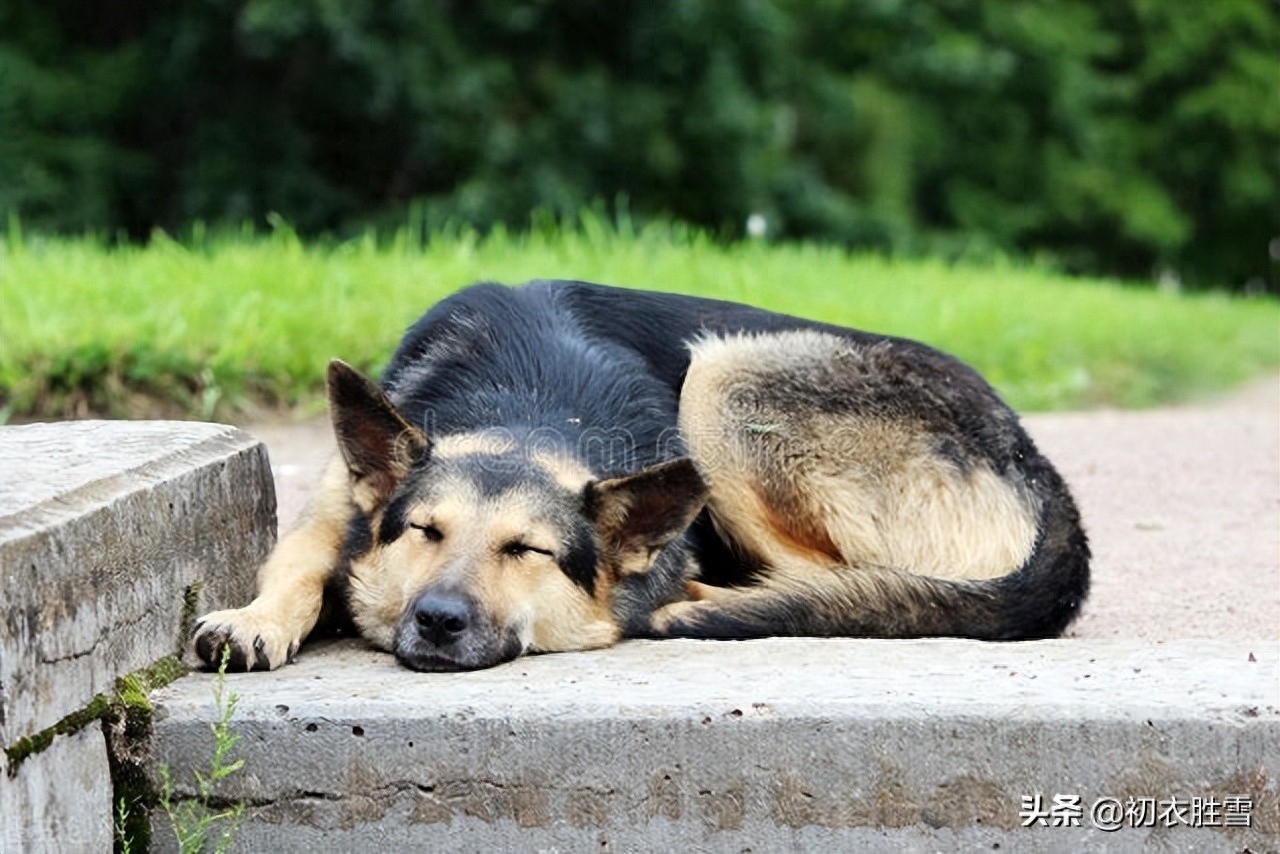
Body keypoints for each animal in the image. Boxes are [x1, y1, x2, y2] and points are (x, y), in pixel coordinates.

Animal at [189, 280, 1090, 676]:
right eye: (424, 532)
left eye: (530, 552)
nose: (440, 620)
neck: (530, 406)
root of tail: (1039, 465)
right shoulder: (335, 511)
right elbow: (303, 566)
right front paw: (259, 619)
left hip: (722, 378)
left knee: (836, 583)